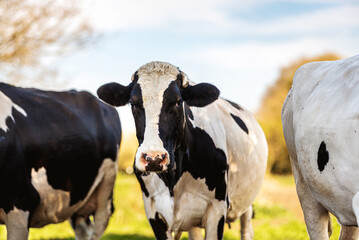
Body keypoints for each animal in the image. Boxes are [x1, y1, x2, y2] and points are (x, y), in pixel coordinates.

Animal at [97, 61, 268, 239]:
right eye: (133, 103)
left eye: (178, 102)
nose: (154, 158)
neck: (173, 180)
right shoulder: (153, 211)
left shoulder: (217, 208)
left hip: (247, 203)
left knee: (246, 230)